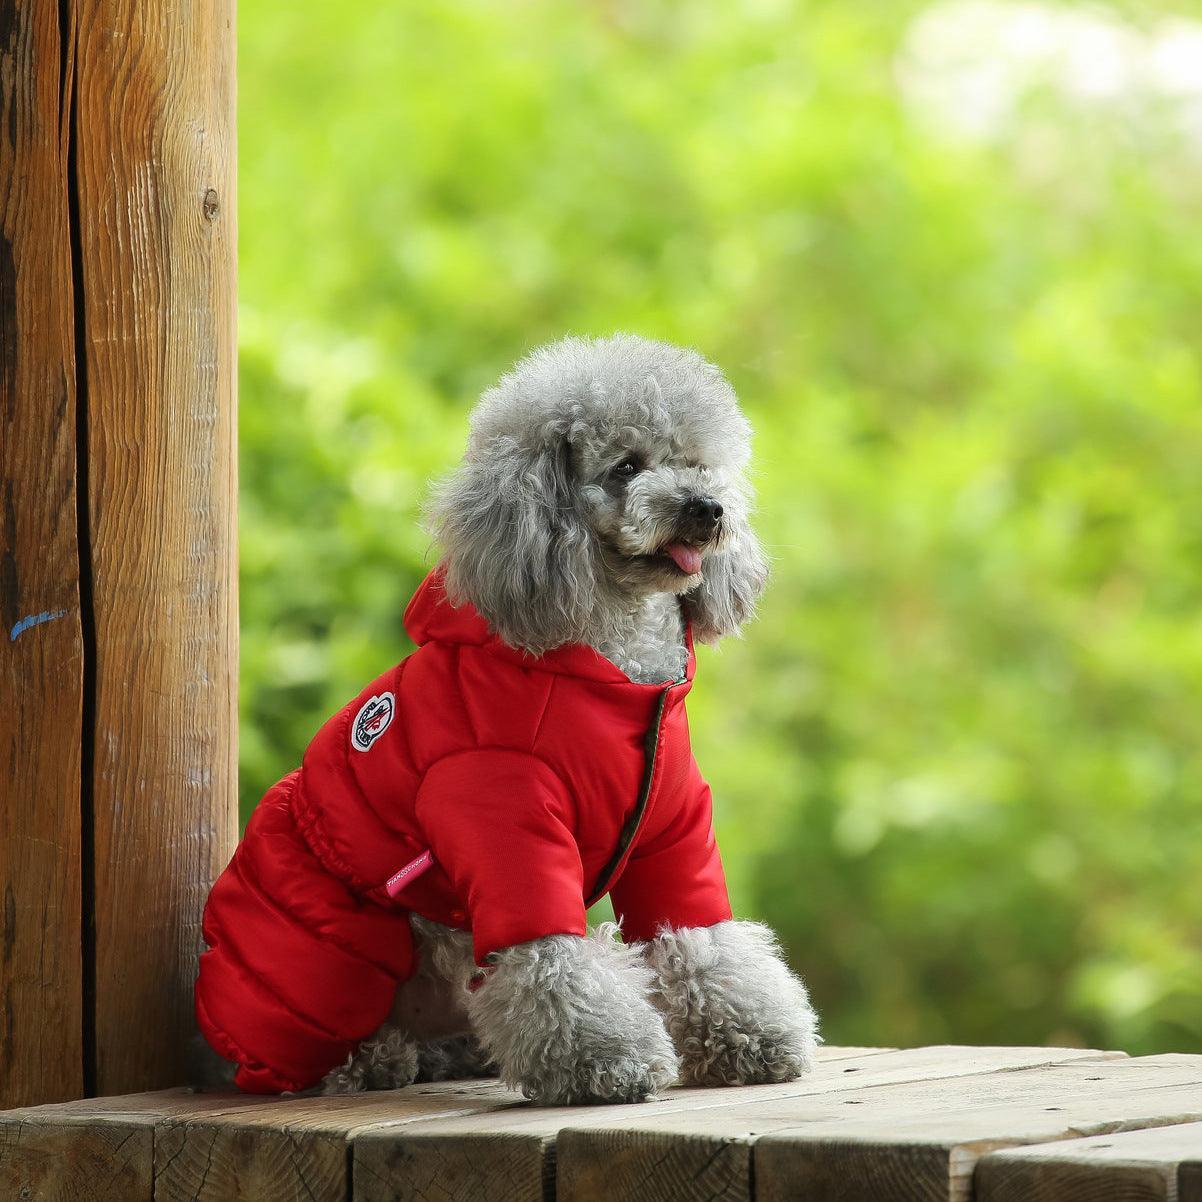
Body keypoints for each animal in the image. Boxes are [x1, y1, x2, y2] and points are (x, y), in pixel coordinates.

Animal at [194, 334, 817, 1101]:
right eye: (627, 467)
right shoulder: (503, 820)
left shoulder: (671, 829)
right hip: (333, 953)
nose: (706, 508)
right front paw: (604, 1062)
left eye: (699, 463)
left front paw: (750, 1036)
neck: (618, 677)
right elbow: (549, 958)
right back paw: (368, 1062)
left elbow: (699, 933)